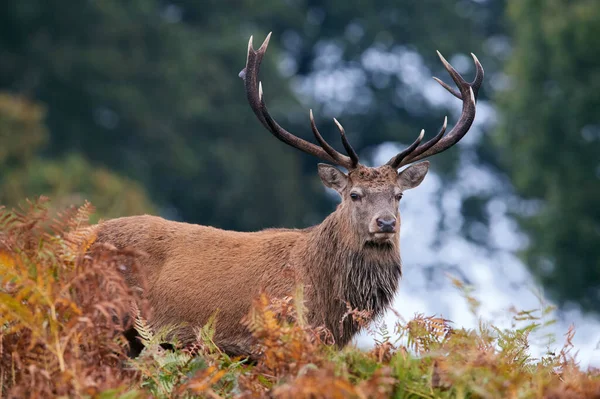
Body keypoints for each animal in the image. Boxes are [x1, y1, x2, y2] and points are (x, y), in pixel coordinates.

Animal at [92, 33, 482, 356]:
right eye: (354, 194)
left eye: (398, 195)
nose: (385, 223)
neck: (327, 304)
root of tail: (85, 235)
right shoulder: (265, 343)